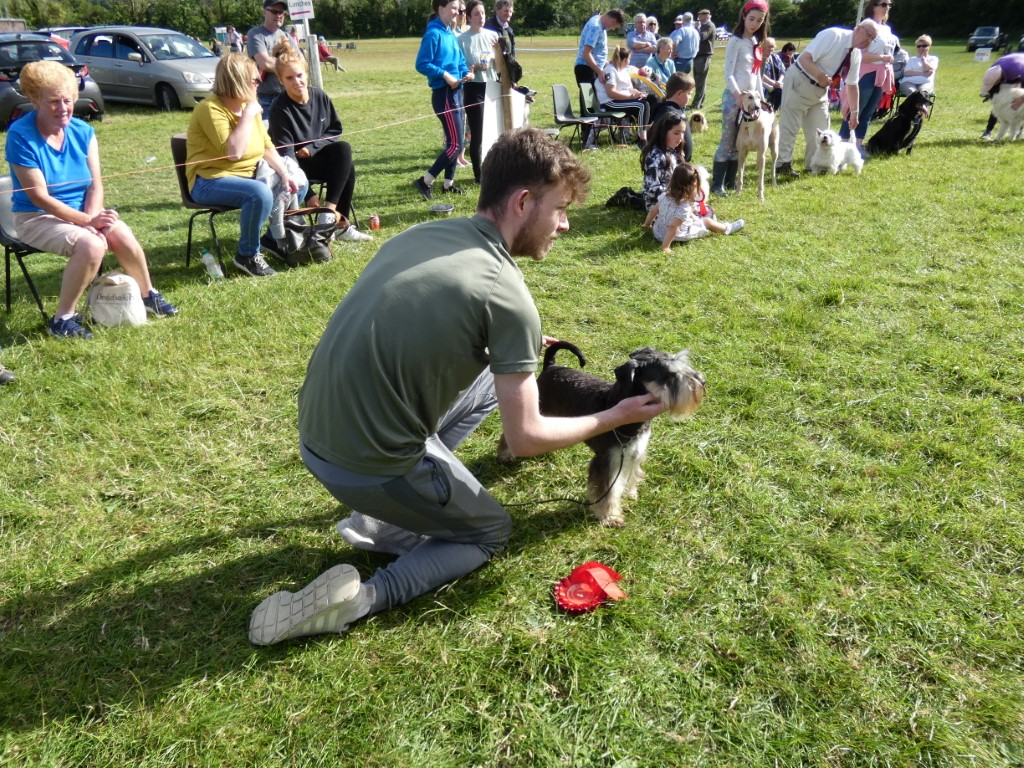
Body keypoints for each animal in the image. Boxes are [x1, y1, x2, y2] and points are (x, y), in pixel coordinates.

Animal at [498, 341, 705, 527]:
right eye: (669, 375)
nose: (702, 381)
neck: (613, 402)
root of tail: (550, 367)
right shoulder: (608, 460)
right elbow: (608, 492)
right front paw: (610, 517)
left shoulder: (634, 452)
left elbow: (630, 475)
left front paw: (630, 493)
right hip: (537, 412)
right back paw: (505, 455)